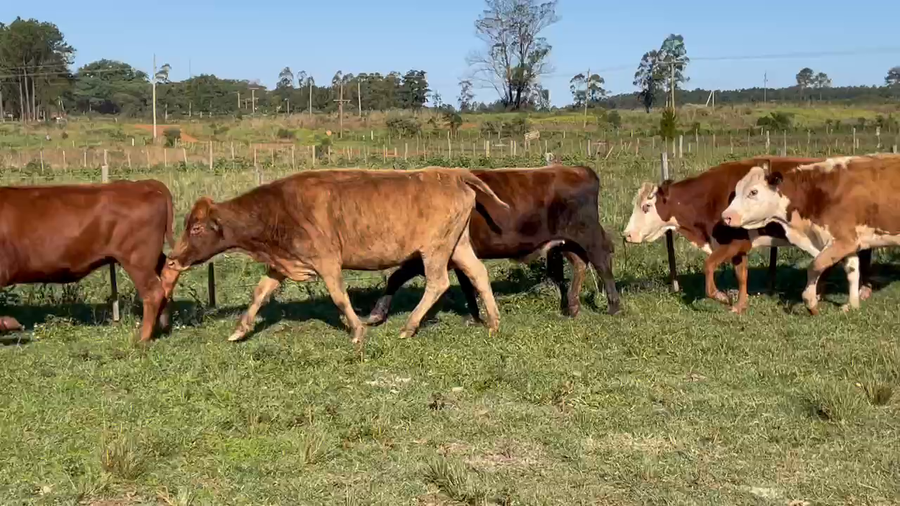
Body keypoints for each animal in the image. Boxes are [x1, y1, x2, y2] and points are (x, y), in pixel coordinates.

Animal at [162, 168, 512, 346]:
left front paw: (356, 330)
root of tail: (451, 173)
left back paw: (409, 326)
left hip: (435, 249)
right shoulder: (283, 263)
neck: (277, 210)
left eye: (196, 228)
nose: (173, 259)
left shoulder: (327, 260)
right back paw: (494, 323)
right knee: (478, 273)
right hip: (458, 244)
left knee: (437, 283)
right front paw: (240, 329)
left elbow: (339, 296)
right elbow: (260, 293)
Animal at [365, 165, 621, 326]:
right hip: (568, 242)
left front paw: (377, 313)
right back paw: (573, 307)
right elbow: (467, 284)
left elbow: (396, 277)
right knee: (580, 264)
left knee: (602, 262)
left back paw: (614, 306)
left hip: (588, 234)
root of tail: (579, 169)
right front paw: (474, 316)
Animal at [623, 156, 872, 313]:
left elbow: (709, 266)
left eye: (646, 206)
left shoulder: (731, 243)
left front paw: (722, 297)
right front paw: (740, 305)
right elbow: (741, 275)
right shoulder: (739, 248)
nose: (626, 234)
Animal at [722, 154, 900, 314]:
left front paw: (811, 302)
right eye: (736, 190)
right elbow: (852, 271)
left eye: (753, 192)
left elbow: (815, 265)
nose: (726, 216)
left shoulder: (844, 241)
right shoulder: (847, 243)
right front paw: (852, 305)